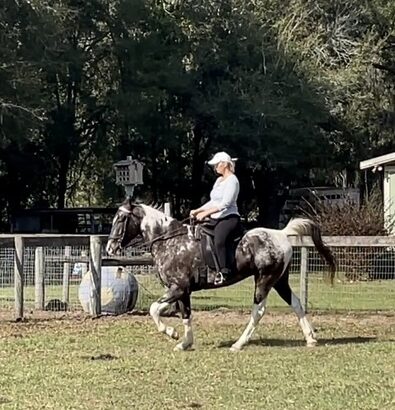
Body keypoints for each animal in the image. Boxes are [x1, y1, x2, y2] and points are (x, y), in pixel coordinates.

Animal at [106, 197, 336, 350]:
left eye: (121, 219)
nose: (110, 248)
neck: (170, 242)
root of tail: (281, 234)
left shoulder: (178, 288)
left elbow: (154, 309)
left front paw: (172, 333)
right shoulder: (183, 291)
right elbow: (186, 314)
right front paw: (185, 343)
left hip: (264, 280)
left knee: (259, 310)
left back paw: (239, 344)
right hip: (279, 281)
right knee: (296, 303)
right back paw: (310, 339)